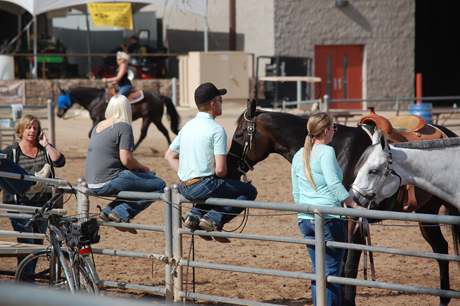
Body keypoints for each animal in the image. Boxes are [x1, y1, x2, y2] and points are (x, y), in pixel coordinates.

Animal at [227, 99, 460, 304]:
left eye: (238, 135)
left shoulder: (353, 220)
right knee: (441, 249)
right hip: (426, 214)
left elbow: (348, 267)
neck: (339, 149)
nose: (228, 169)